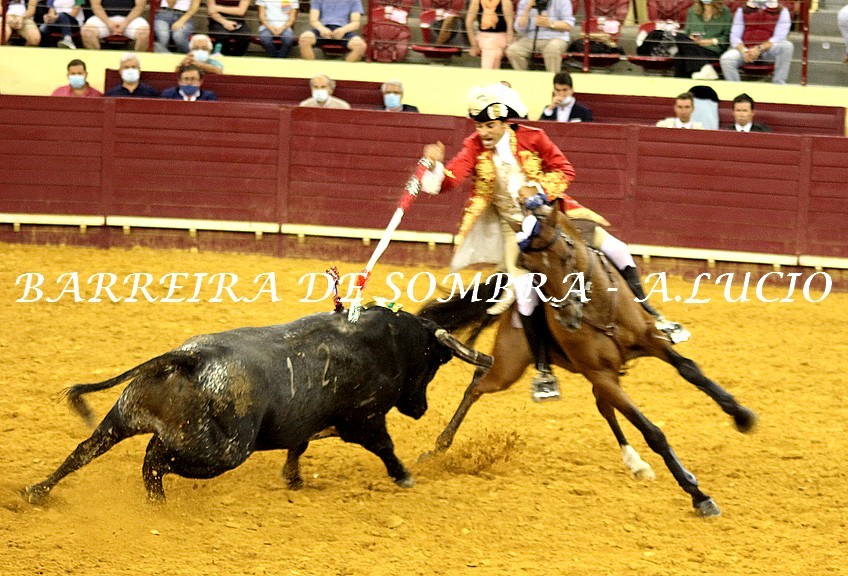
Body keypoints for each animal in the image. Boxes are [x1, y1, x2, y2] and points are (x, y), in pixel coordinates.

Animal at [21, 307, 493, 505]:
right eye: (435, 362)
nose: (421, 409)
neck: (383, 342)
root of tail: (190, 358)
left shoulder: (306, 419)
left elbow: (299, 445)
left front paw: (293, 479)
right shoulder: (365, 419)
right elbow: (385, 448)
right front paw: (405, 476)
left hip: (123, 416)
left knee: (85, 451)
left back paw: (35, 492)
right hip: (223, 453)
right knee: (153, 461)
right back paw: (157, 505)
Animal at [418, 209, 757, 517]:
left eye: (566, 254)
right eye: (531, 269)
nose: (568, 317)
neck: (598, 305)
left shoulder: (649, 341)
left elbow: (691, 370)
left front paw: (742, 416)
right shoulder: (601, 373)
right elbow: (652, 432)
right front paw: (698, 494)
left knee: (601, 406)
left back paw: (636, 463)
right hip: (510, 367)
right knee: (477, 384)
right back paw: (438, 447)